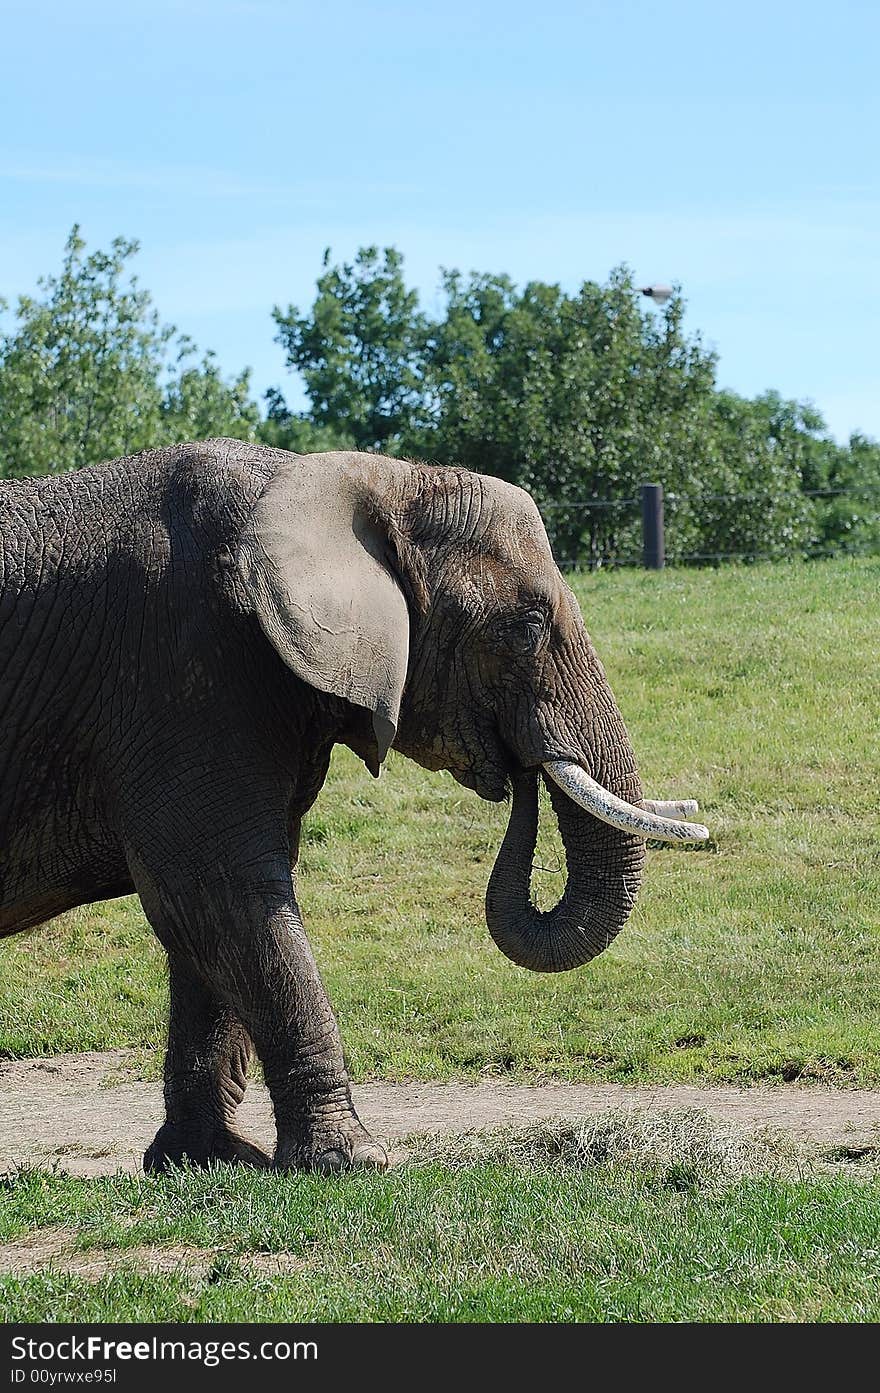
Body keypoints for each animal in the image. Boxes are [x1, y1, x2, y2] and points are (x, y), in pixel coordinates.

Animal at [0, 440, 704, 1170]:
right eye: (525, 626)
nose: (520, 771)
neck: (360, 479)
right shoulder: (180, 672)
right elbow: (219, 891)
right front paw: (354, 1161)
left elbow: (203, 923)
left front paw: (207, 1160)